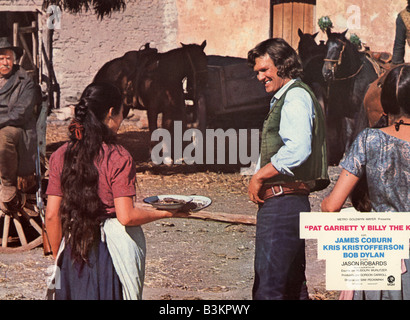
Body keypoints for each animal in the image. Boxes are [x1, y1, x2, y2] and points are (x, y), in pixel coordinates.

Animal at [322, 28, 380, 162]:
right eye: (326, 46)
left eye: (339, 48)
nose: (326, 73)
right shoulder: (347, 111)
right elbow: (349, 131)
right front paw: (346, 153)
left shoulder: (359, 112)